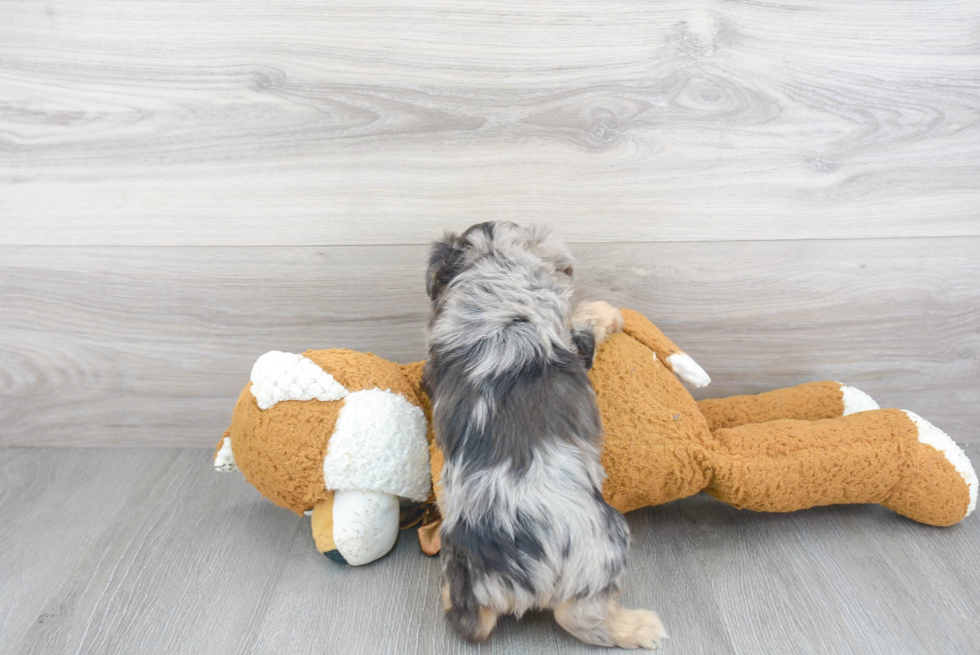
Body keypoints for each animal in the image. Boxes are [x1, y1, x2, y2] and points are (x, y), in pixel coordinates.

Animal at [424, 222, 668, 652]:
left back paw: (448, 596)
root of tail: (506, 563)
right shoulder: (572, 338)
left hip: (459, 559)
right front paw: (607, 311)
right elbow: (586, 320)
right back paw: (639, 627)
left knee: (468, 622)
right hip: (605, 543)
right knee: (579, 616)